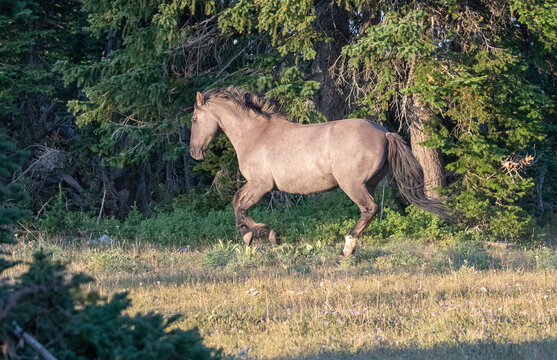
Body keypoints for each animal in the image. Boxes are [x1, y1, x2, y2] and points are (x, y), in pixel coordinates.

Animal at [191, 86, 452, 256]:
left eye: (194, 119)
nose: (195, 152)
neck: (256, 134)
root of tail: (384, 133)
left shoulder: (261, 184)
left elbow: (240, 206)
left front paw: (266, 234)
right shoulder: (256, 184)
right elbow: (236, 202)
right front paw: (249, 235)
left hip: (352, 184)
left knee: (369, 209)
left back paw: (347, 248)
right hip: (369, 183)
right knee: (370, 210)